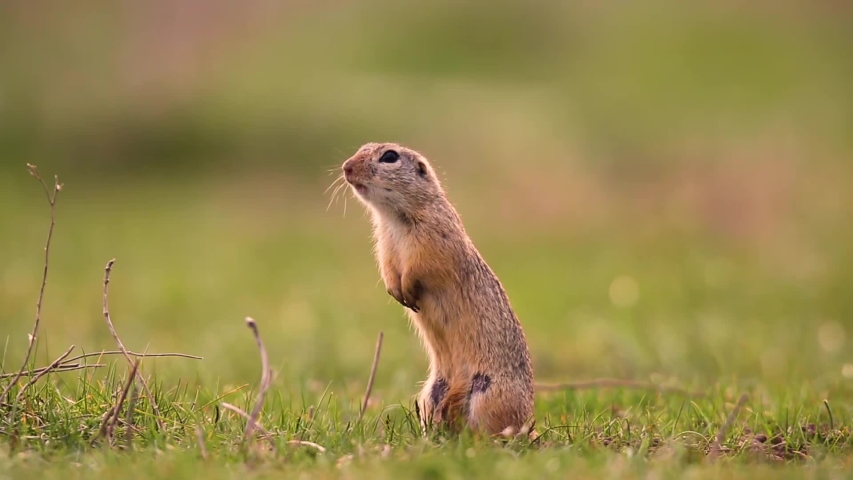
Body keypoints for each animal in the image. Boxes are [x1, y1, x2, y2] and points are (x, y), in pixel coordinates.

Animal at [340, 142, 532, 436]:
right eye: (362, 147)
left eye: (389, 156)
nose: (346, 167)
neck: (393, 218)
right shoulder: (385, 245)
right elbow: (388, 268)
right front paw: (396, 291)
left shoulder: (434, 237)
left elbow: (422, 267)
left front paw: (407, 290)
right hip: (432, 394)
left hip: (489, 394)